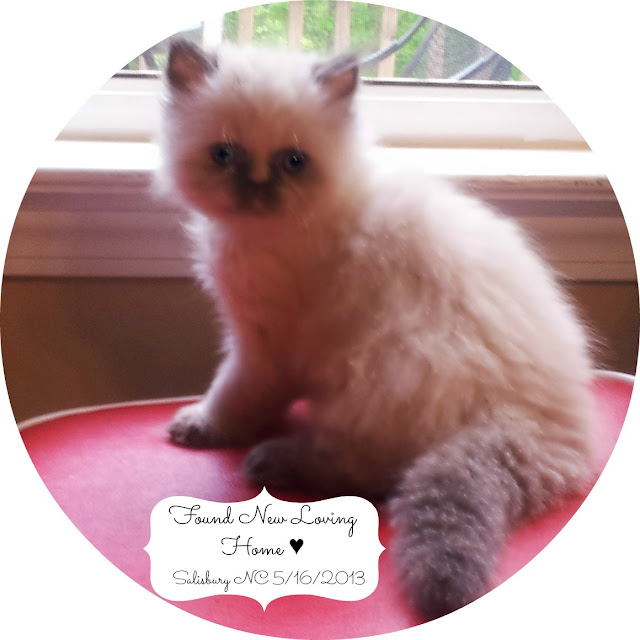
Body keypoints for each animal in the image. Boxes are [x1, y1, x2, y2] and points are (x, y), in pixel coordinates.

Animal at [157, 39, 596, 620]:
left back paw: (272, 461)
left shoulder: (262, 348)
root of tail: (539, 426)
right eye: (225, 155)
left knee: (372, 473)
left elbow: (233, 396)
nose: (257, 189)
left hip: (379, 375)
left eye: (293, 162)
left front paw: (204, 426)